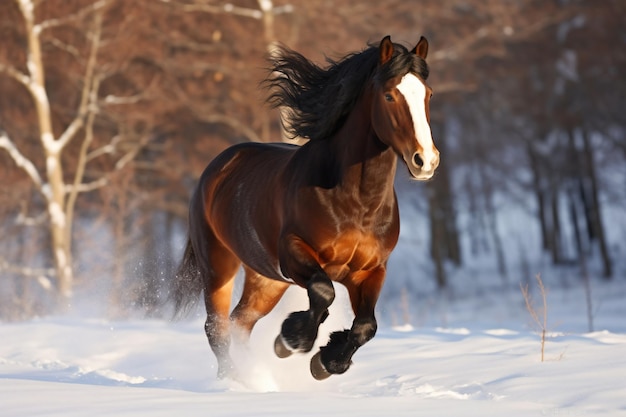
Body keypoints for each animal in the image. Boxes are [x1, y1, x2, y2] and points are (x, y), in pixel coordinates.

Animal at [168, 35, 436, 380]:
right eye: (389, 95)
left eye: (428, 94)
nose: (425, 161)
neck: (358, 204)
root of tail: (217, 168)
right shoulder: (295, 251)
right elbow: (323, 292)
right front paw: (291, 340)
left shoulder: (370, 270)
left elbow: (366, 325)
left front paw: (326, 361)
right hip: (219, 265)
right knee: (217, 328)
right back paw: (237, 380)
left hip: (266, 280)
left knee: (241, 322)